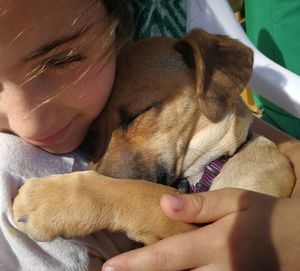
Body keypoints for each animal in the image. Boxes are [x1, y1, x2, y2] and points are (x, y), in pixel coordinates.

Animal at [12, 28, 294, 245]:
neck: (215, 165)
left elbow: (143, 192)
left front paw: (54, 198)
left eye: (139, 113)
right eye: (92, 134)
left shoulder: (219, 230)